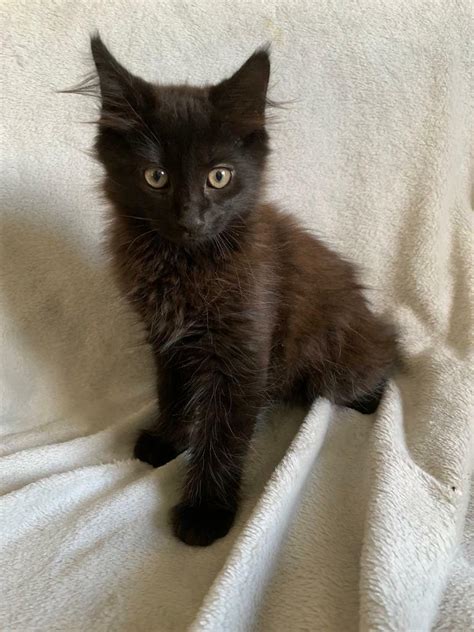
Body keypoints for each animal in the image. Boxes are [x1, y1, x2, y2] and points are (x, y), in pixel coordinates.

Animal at [72, 34, 398, 544]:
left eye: (219, 176)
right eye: (155, 176)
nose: (190, 218)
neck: (184, 264)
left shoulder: (243, 345)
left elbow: (224, 430)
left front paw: (205, 512)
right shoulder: (168, 341)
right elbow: (173, 392)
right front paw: (171, 438)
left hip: (341, 359)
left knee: (377, 364)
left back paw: (368, 396)